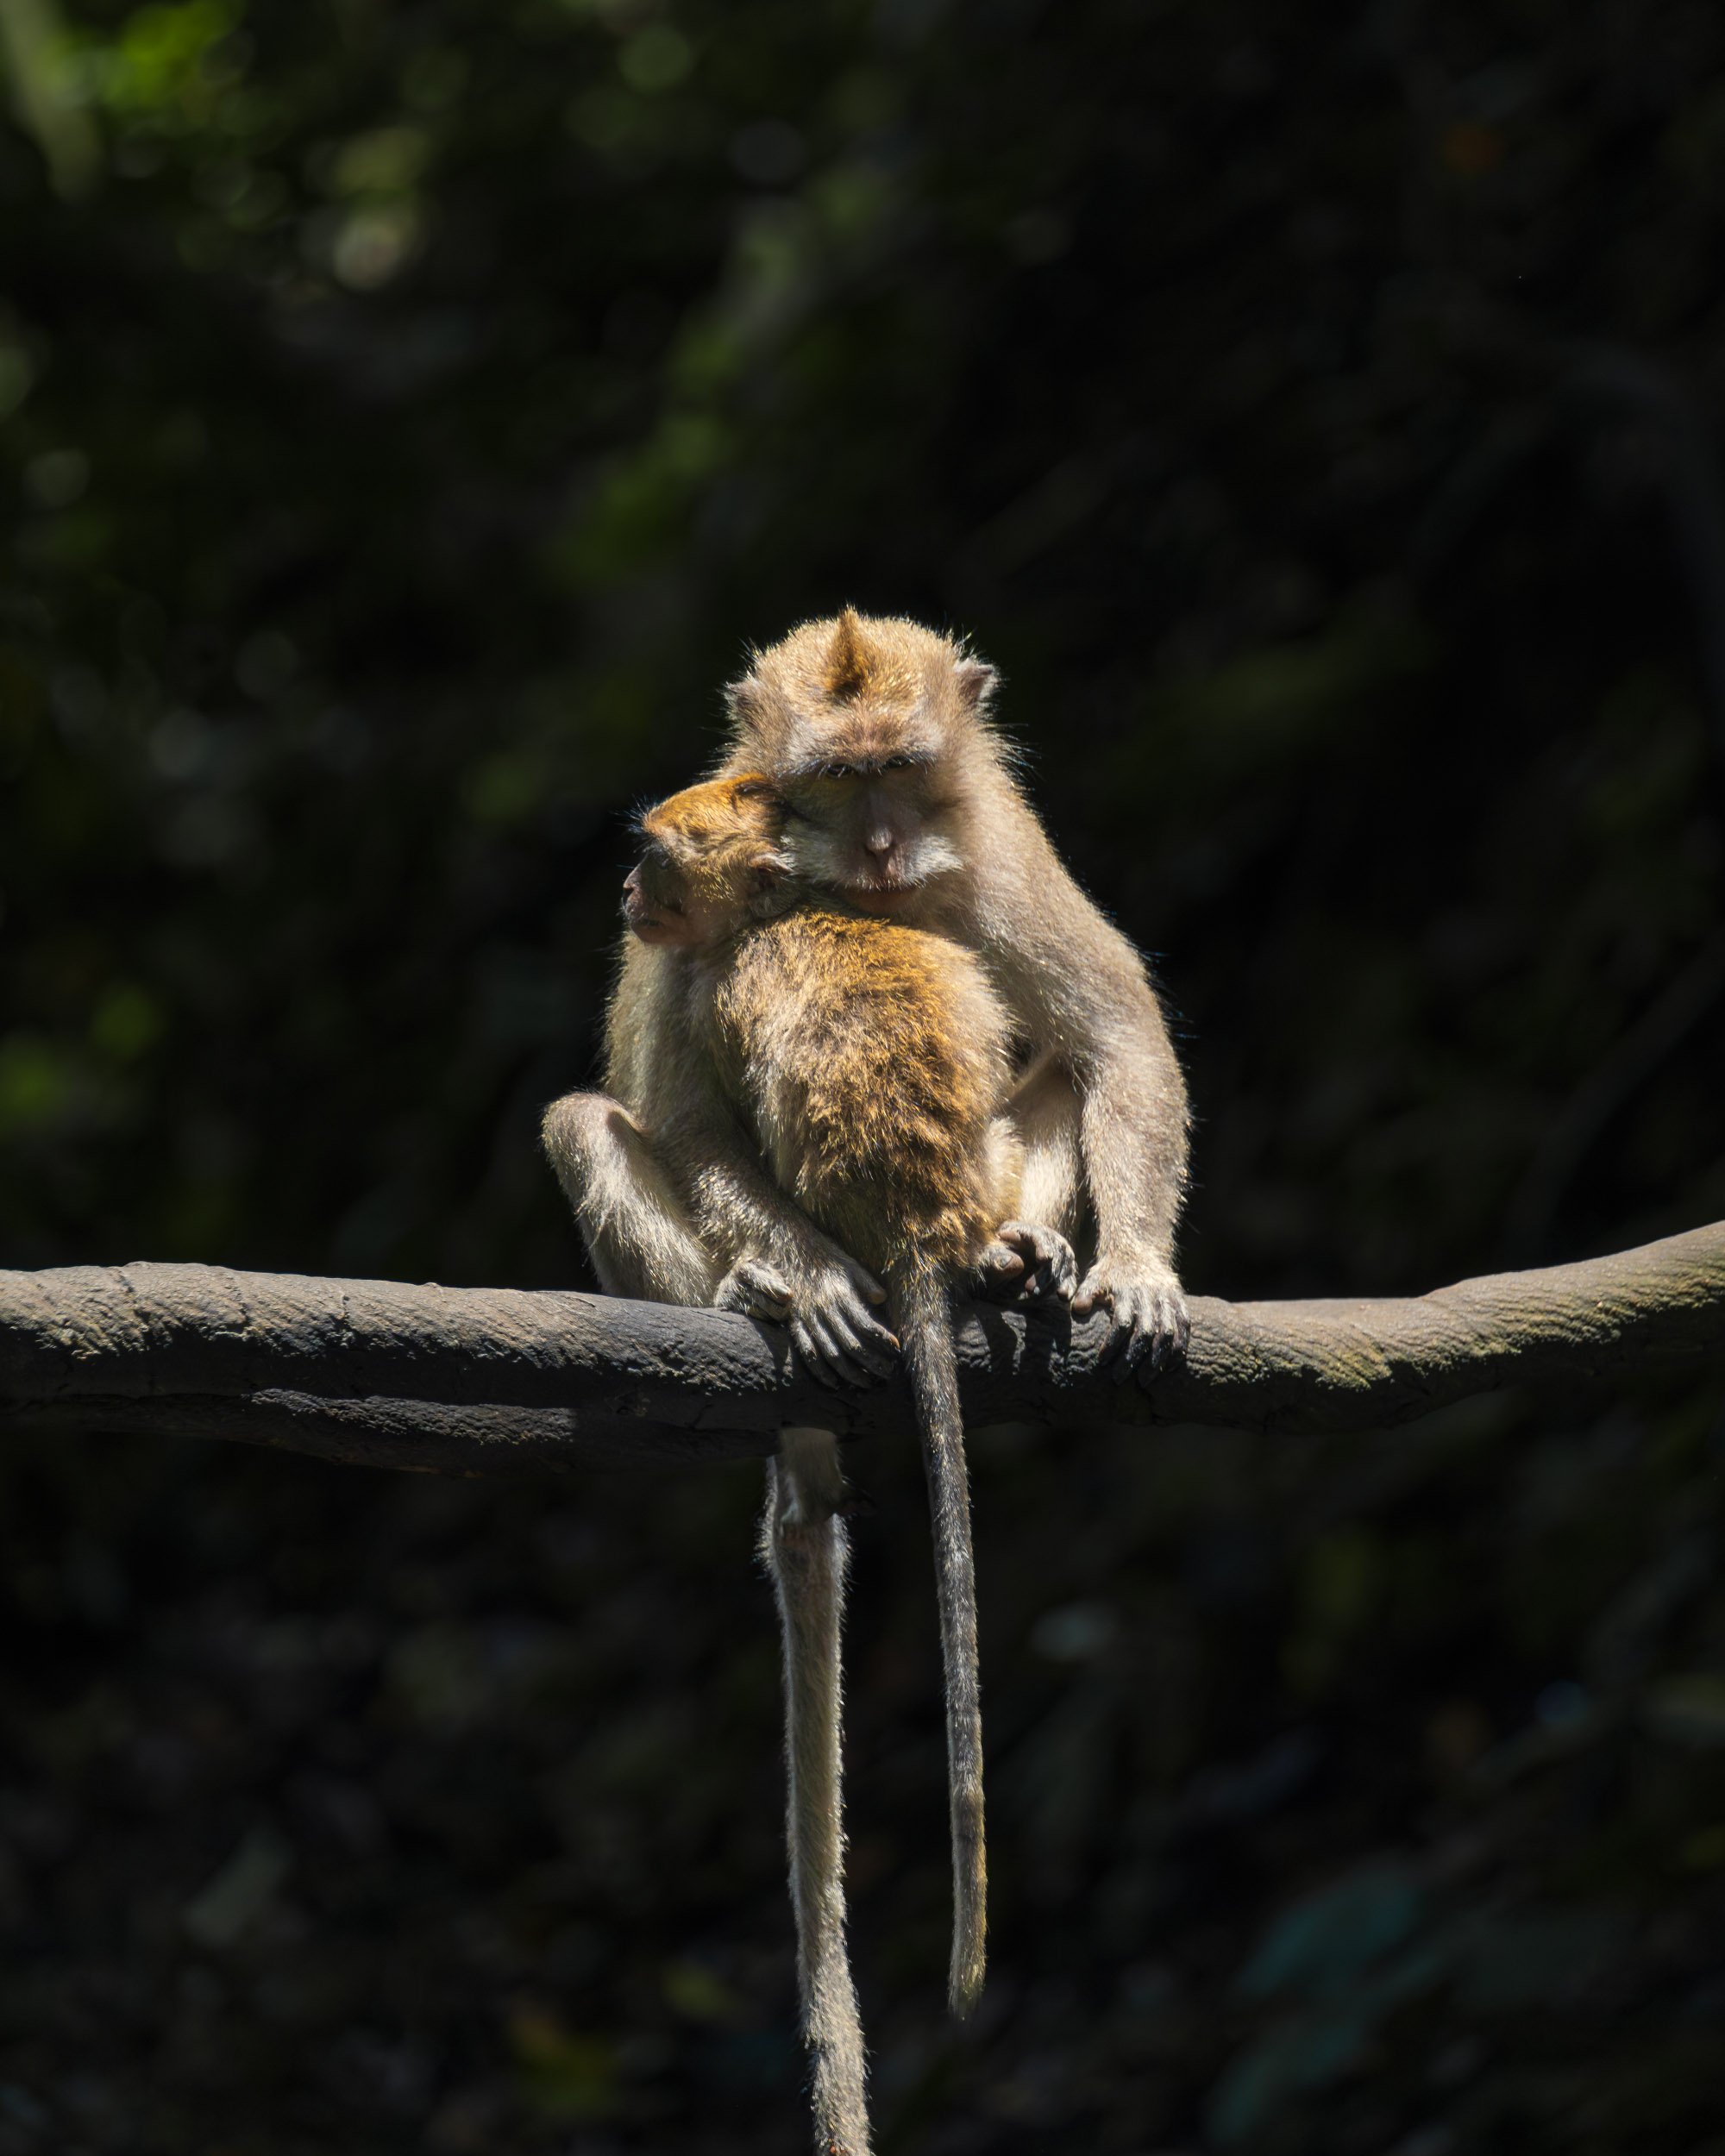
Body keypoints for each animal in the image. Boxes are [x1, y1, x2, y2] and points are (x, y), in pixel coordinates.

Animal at [542, 608, 1189, 1395]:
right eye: (839, 775)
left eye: (900, 765)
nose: (881, 846)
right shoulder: (681, 938)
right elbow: (688, 1123)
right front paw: (817, 1278)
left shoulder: (1000, 851)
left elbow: (1116, 1035)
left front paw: (1136, 1268)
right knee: (581, 1125)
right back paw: (743, 1289)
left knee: (1068, 1069)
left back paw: (1005, 1256)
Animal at [617, 771, 1074, 2149]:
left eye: (655, 854)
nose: (623, 889)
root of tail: (921, 1225)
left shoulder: (705, 983)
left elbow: (699, 1126)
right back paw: (1008, 1263)